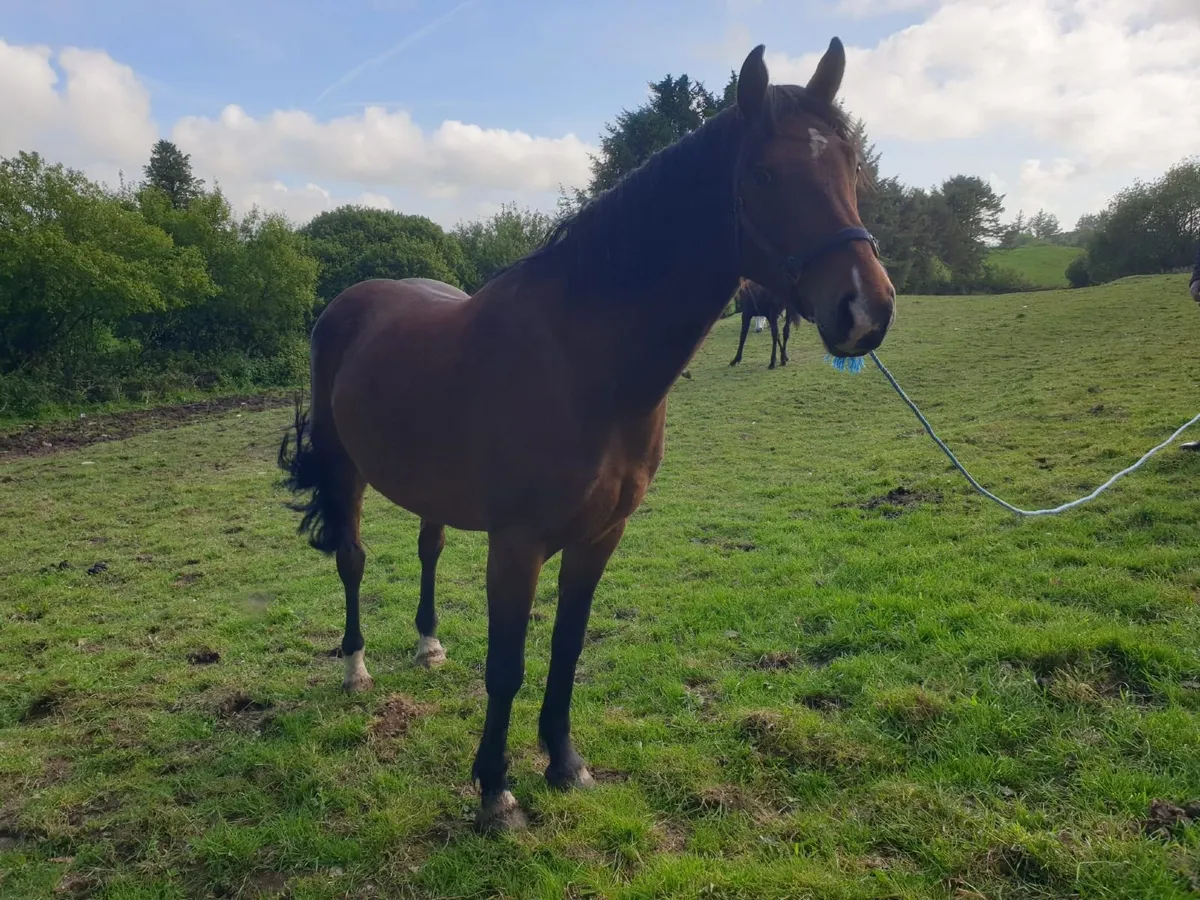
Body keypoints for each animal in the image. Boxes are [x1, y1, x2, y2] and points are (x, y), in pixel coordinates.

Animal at [277, 39, 896, 833]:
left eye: (850, 167)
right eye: (764, 174)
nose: (866, 310)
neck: (582, 361)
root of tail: (350, 303)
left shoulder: (601, 535)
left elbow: (567, 649)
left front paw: (564, 764)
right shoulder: (517, 545)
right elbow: (506, 665)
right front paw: (495, 792)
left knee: (428, 549)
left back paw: (428, 644)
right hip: (346, 466)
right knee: (352, 559)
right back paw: (355, 667)